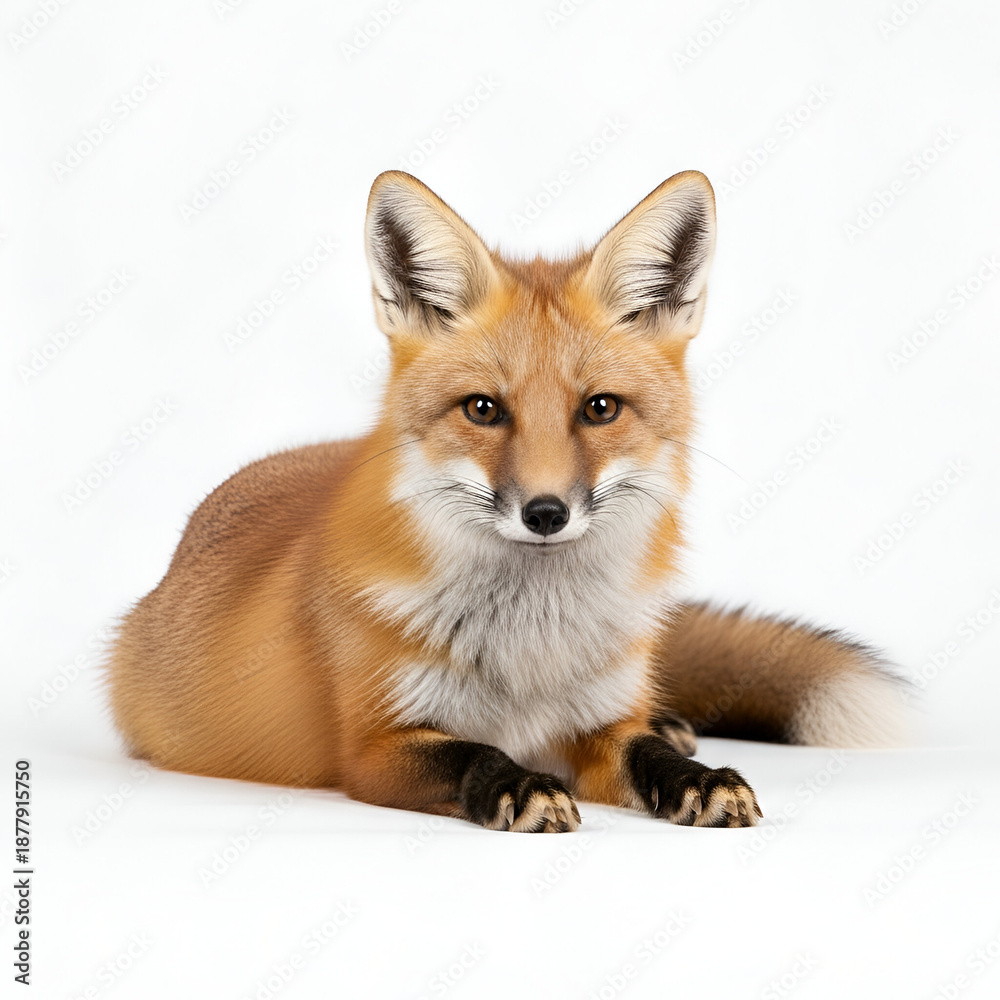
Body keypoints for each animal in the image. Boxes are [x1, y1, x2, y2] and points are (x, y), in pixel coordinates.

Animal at [107, 169, 910, 832]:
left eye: (600, 408)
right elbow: (472, 754)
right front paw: (519, 786)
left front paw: (696, 775)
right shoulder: (372, 745)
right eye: (484, 409)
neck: (533, 651)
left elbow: (645, 751)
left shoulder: (595, 727)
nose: (546, 513)